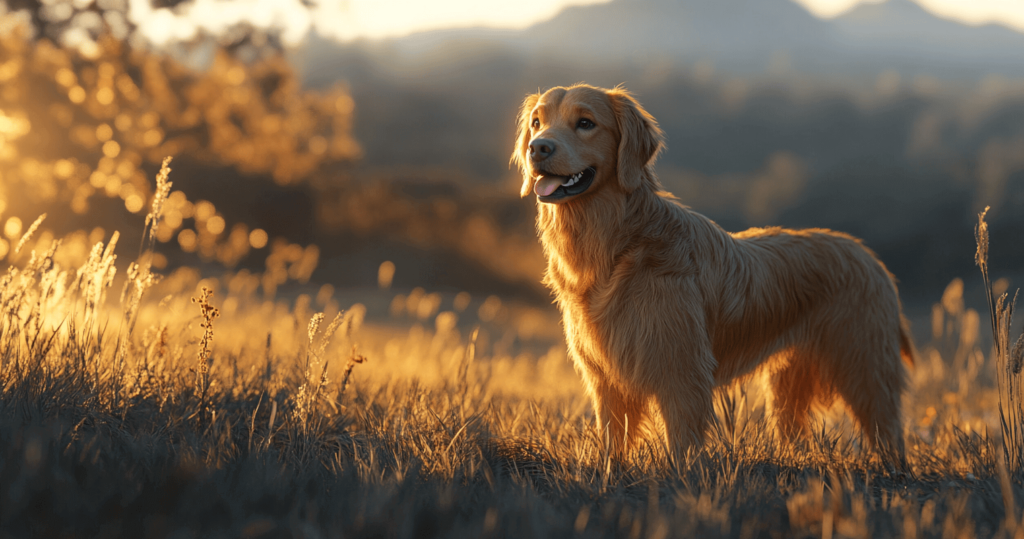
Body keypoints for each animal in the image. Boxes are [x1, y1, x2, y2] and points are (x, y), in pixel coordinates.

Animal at [512, 83, 921, 465]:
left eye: (585, 123)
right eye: (537, 122)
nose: (538, 148)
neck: (615, 244)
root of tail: (870, 257)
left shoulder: (681, 368)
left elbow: (681, 441)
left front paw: (679, 477)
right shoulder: (605, 375)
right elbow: (614, 437)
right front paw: (611, 472)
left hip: (865, 367)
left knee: (887, 429)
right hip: (788, 384)